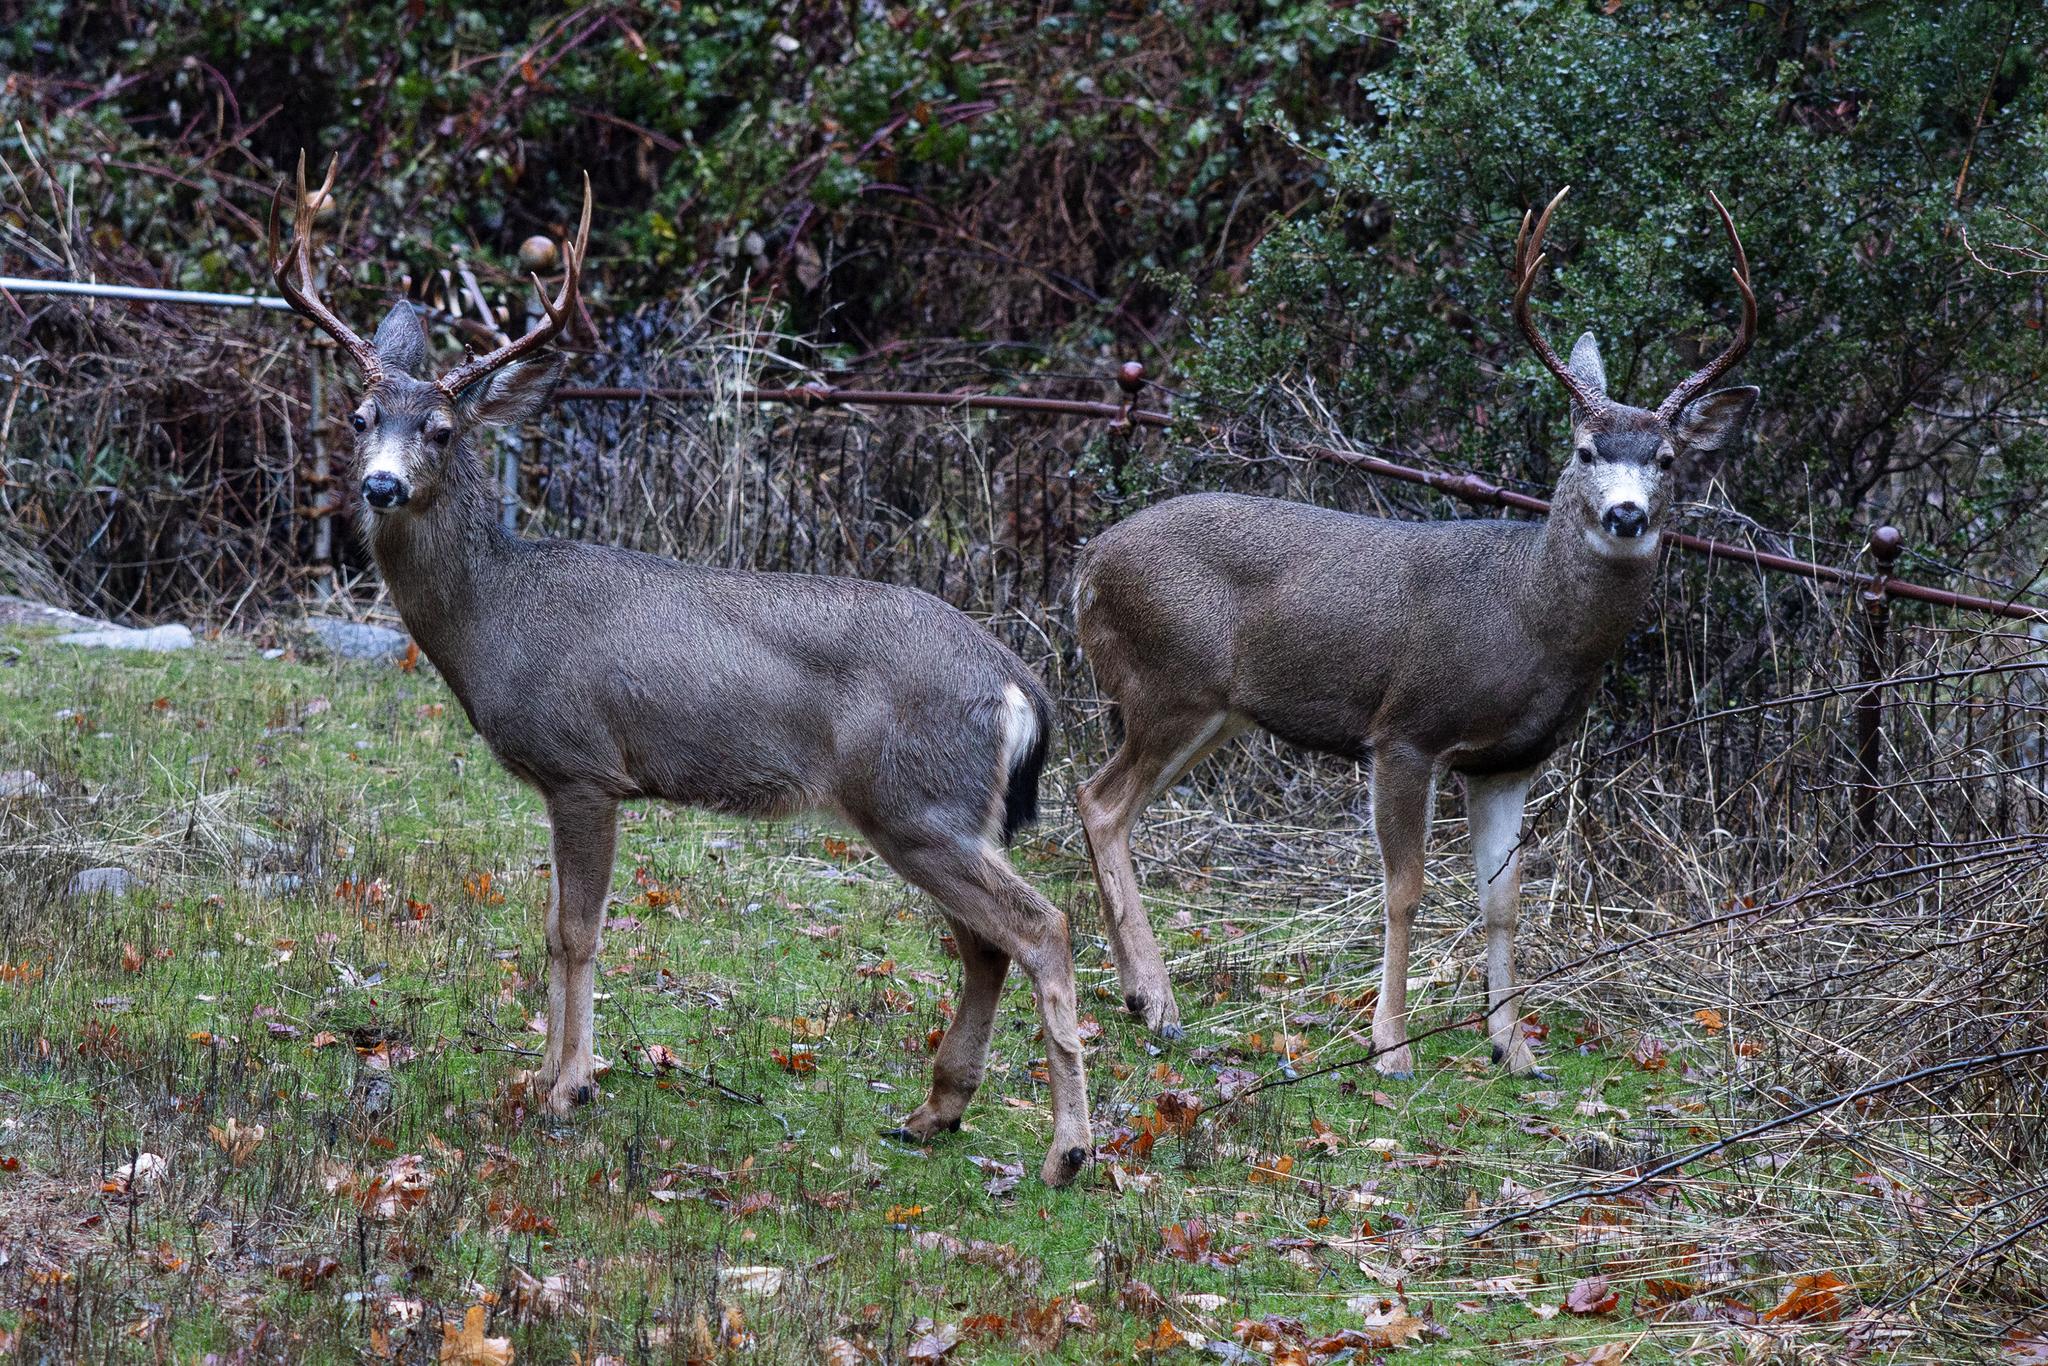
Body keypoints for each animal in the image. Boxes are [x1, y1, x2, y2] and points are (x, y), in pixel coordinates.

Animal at [268, 154, 1094, 1186]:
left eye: (445, 430)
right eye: (361, 415)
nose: (380, 484)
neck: (495, 615)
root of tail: (1020, 682)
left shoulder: (584, 765)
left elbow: (578, 930)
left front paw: (567, 1090)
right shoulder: (557, 781)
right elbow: (551, 925)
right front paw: (547, 1075)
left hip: (919, 801)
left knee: (1042, 927)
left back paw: (1067, 1151)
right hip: (936, 811)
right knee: (986, 947)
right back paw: (931, 1114)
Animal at [1074, 187, 1758, 1078]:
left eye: (1668, 459)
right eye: (1583, 450)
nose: (1625, 513)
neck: (1528, 623)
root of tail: (1089, 565)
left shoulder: (1510, 762)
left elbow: (1503, 901)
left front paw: (1515, 1049)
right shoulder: (1405, 731)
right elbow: (1406, 889)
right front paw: (1391, 1045)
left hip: (1207, 708)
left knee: (1106, 804)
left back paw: (1136, 995)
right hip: (1168, 682)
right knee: (1101, 803)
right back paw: (1159, 1005)